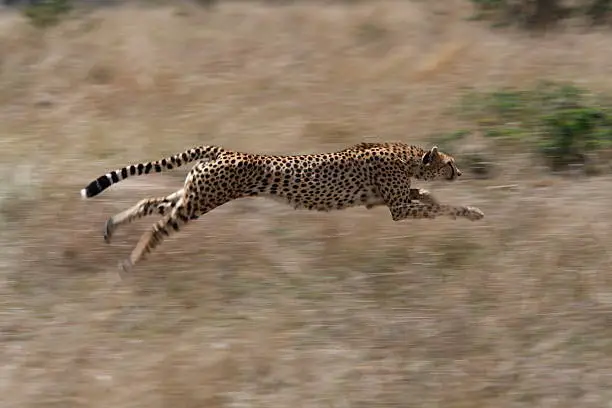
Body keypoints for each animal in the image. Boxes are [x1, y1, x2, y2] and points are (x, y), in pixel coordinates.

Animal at [80, 141, 482, 274]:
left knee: (151, 202)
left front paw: (438, 197)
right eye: (450, 163)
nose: (460, 171)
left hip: (193, 192)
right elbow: (437, 208)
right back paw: (131, 262)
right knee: (159, 227)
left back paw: (111, 226)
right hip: (201, 201)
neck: (407, 155)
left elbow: (424, 195)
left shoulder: (379, 201)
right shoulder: (396, 208)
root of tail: (223, 149)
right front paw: (471, 212)